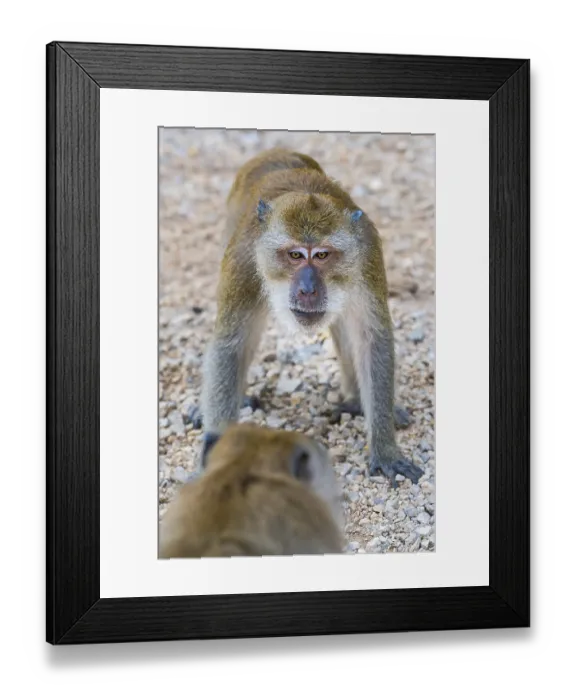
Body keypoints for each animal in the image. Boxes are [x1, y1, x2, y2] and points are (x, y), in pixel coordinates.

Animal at [199, 147, 424, 487]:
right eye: (295, 255)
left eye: (322, 255)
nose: (308, 289)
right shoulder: (243, 259)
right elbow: (231, 345)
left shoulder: (367, 255)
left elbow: (371, 339)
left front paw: (384, 448)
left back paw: (355, 401)